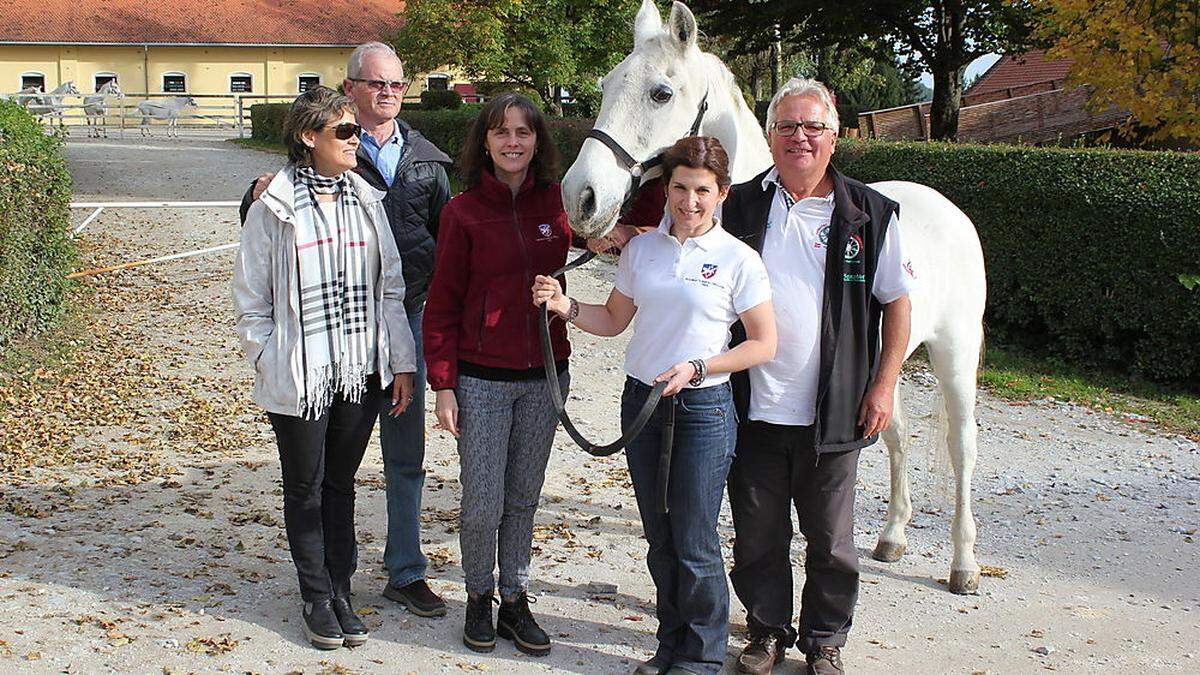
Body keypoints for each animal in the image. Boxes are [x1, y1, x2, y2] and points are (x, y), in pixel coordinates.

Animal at [561, 0, 984, 590]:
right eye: (605, 86)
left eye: (661, 93)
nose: (579, 198)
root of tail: (948, 208)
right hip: (887, 364)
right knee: (896, 436)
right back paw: (893, 536)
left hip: (956, 353)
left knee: (962, 446)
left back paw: (964, 562)